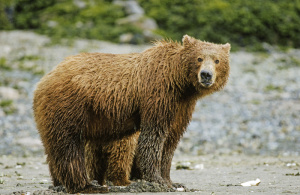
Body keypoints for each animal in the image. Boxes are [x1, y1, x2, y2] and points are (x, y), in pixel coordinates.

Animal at [32, 34, 230, 193]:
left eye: (217, 60)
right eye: (199, 58)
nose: (206, 75)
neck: (179, 83)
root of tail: (44, 79)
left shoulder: (182, 106)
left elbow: (171, 141)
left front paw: (172, 181)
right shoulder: (158, 94)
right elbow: (153, 136)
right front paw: (156, 180)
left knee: (54, 147)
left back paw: (60, 183)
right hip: (70, 105)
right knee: (70, 145)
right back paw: (87, 185)